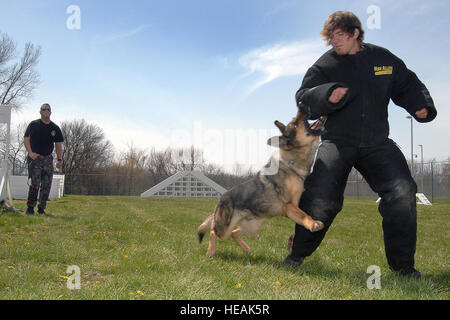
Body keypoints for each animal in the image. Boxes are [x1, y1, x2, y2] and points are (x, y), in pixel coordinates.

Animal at [199, 109, 326, 256]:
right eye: (295, 123)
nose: (302, 107)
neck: (291, 163)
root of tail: (221, 198)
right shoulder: (289, 205)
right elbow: (303, 214)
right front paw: (313, 223)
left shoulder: (293, 206)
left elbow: (302, 214)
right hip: (225, 228)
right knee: (213, 231)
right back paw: (211, 251)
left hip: (253, 228)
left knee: (234, 234)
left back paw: (247, 250)